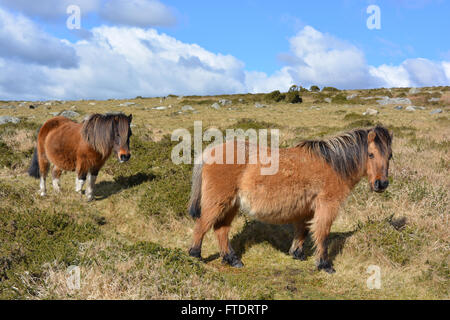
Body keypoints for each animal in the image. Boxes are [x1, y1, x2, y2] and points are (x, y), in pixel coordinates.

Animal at [188, 125, 392, 272]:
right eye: (371, 154)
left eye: (389, 156)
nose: (381, 184)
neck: (333, 165)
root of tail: (210, 152)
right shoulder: (327, 205)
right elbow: (322, 233)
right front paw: (324, 264)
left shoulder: (306, 209)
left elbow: (302, 231)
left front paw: (297, 254)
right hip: (218, 202)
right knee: (202, 225)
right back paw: (195, 255)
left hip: (231, 205)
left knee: (221, 230)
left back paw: (232, 259)